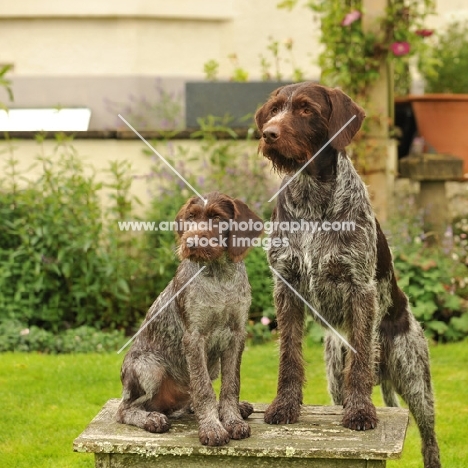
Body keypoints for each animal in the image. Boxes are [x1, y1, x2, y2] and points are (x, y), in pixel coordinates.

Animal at [116, 191, 264, 446]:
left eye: (217, 218)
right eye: (191, 217)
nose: (191, 243)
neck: (219, 276)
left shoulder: (237, 336)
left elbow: (230, 386)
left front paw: (232, 420)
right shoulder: (194, 338)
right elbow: (204, 390)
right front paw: (212, 428)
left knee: (190, 400)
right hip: (149, 367)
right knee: (125, 409)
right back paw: (152, 418)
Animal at [256, 83, 442, 468]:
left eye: (307, 109)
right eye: (274, 109)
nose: (269, 133)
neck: (312, 199)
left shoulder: (360, 288)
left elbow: (360, 357)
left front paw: (360, 413)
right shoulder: (286, 287)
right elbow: (289, 354)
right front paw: (284, 406)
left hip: (415, 377)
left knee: (429, 439)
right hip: (334, 372)